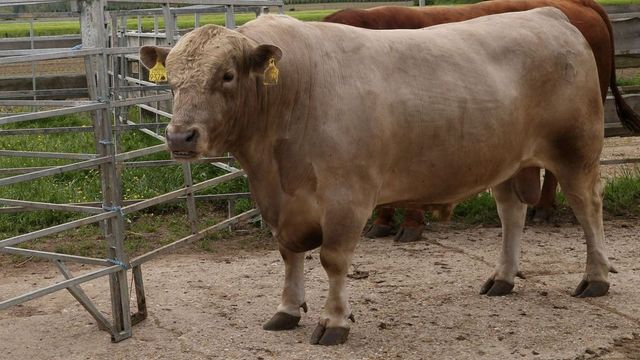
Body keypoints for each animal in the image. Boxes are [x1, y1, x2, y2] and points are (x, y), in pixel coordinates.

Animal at [141, 8, 616, 346]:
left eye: (226, 75)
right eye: (171, 82)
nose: (180, 136)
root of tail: (548, 15)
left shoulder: (346, 197)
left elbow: (333, 259)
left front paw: (334, 321)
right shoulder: (280, 201)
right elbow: (289, 254)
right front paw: (287, 310)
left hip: (576, 151)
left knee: (588, 207)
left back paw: (596, 278)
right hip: (505, 159)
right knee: (511, 213)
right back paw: (502, 277)